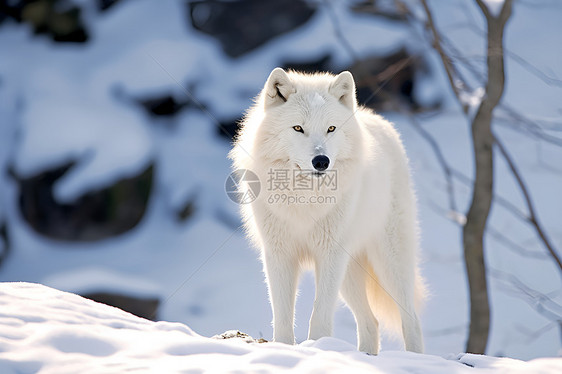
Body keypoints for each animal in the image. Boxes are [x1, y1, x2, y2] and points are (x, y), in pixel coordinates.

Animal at [230, 68, 422, 356]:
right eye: (298, 128)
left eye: (331, 128)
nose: (321, 161)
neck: (304, 200)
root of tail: (380, 121)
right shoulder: (279, 254)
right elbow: (282, 316)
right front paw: (284, 349)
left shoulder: (329, 255)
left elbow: (319, 317)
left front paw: (317, 348)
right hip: (350, 276)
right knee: (371, 322)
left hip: (389, 264)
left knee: (411, 318)